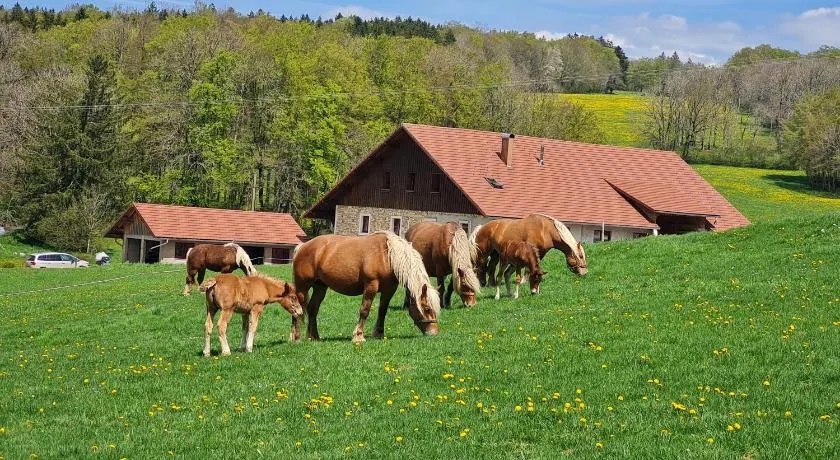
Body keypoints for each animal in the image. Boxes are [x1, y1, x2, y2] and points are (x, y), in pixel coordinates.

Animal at [291, 231, 441, 343]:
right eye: (427, 309)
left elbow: (382, 310)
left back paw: (314, 337)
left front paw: (379, 334)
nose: (434, 332)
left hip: (320, 287)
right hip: (302, 286)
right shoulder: (371, 285)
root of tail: (303, 246)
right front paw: (358, 336)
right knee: (297, 309)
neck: (388, 255)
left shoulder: (389, 289)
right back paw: (295, 337)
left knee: (313, 308)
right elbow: (365, 310)